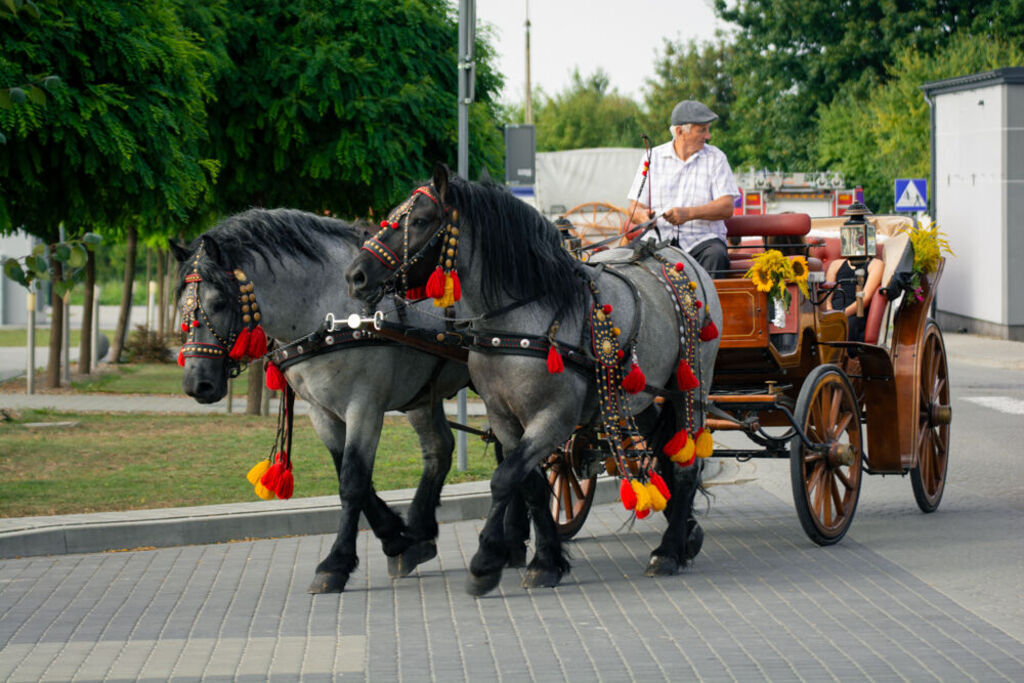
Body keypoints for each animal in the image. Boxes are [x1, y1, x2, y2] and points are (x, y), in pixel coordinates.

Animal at [172, 208, 471, 593]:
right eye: (181, 308)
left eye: (219, 303)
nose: (198, 383)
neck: (332, 310)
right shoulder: (321, 411)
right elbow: (351, 475)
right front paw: (397, 539)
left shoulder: (365, 406)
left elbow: (353, 481)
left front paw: (336, 563)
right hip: (422, 395)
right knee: (439, 449)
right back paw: (421, 531)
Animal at [348, 166, 724, 598]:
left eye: (422, 220)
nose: (356, 275)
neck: (517, 323)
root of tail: (677, 256)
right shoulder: (505, 420)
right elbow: (531, 486)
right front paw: (545, 561)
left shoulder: (553, 419)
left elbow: (503, 479)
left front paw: (486, 561)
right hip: (639, 396)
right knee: (661, 453)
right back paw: (685, 534)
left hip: (691, 387)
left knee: (686, 464)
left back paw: (669, 550)